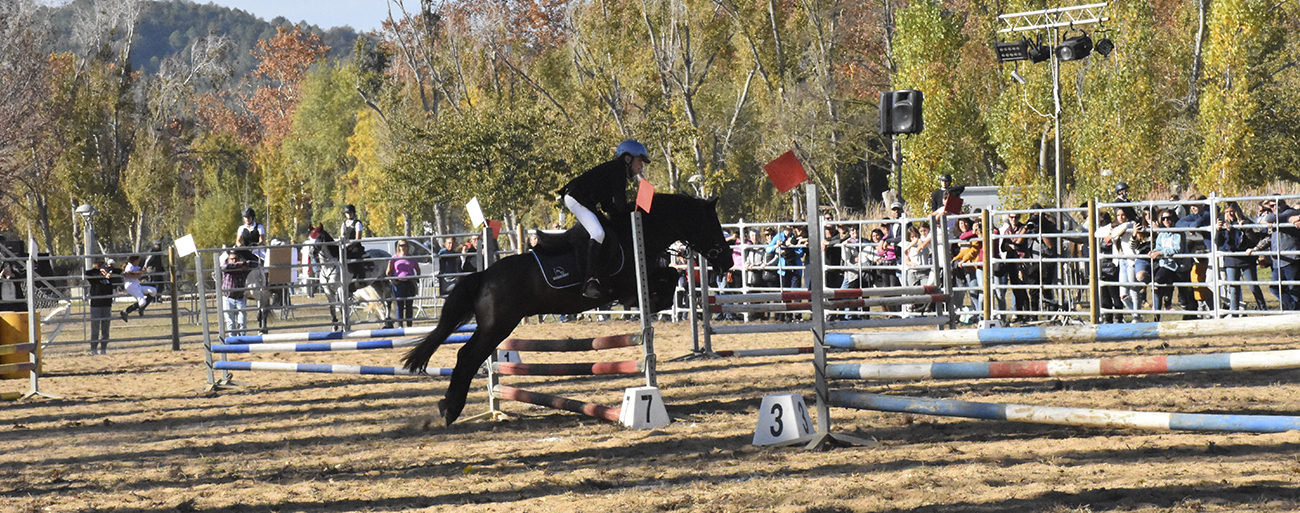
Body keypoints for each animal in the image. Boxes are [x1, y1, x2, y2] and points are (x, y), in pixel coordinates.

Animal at [400, 192, 738, 425]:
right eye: (713, 225)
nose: (728, 262)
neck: (636, 233)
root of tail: (484, 275)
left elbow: (668, 277)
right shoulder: (628, 282)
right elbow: (666, 279)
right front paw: (654, 303)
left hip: (493, 326)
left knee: (468, 356)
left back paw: (451, 406)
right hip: (499, 326)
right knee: (468, 357)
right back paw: (450, 410)